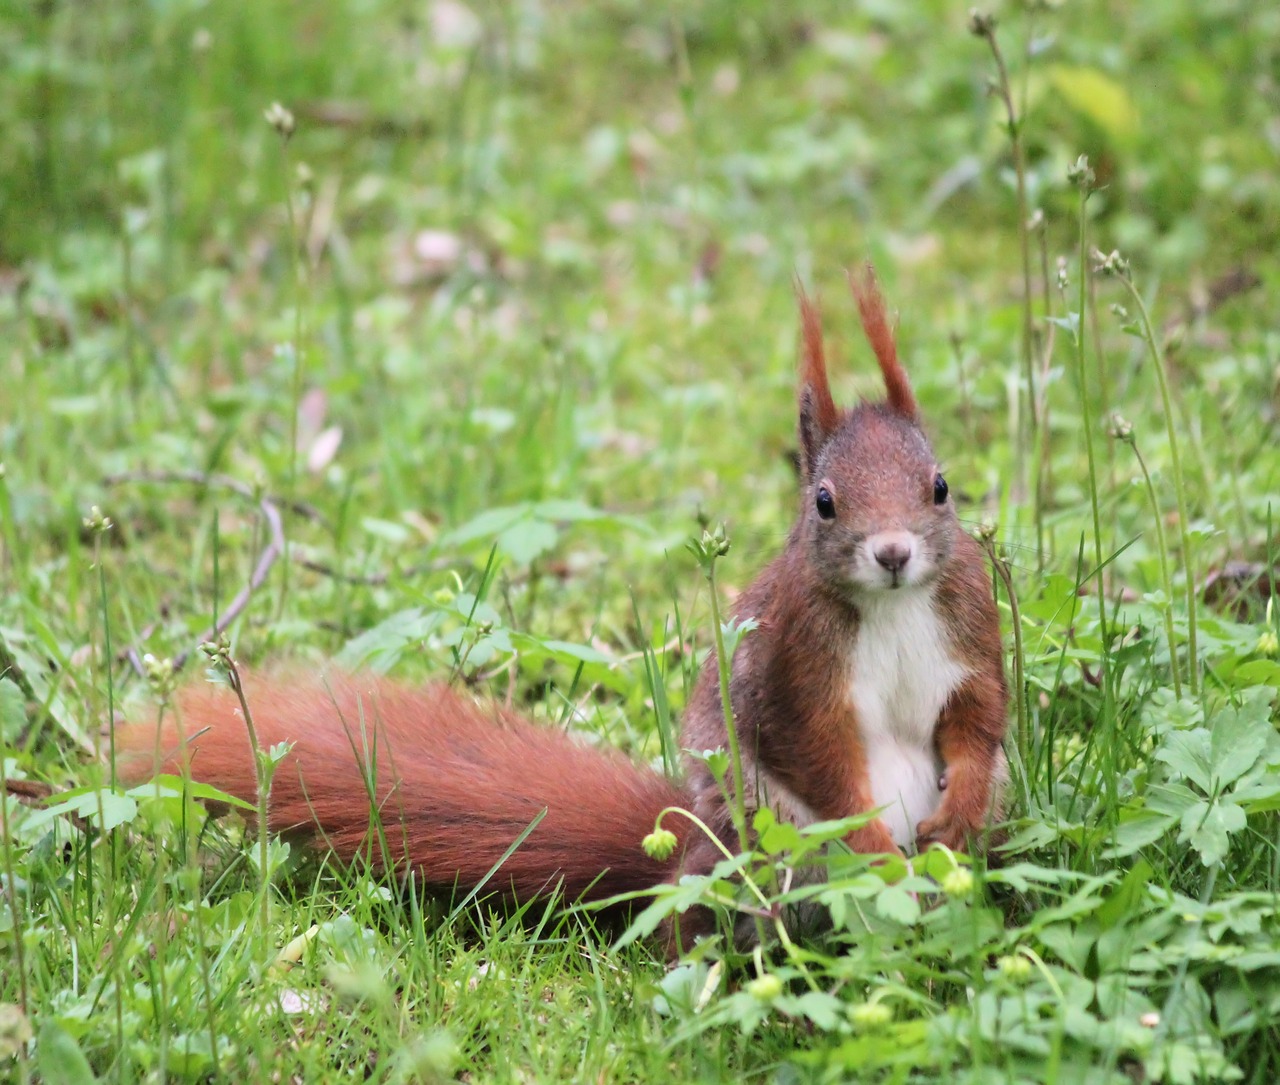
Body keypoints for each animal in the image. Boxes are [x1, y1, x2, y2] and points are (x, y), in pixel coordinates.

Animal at [120, 264, 1008, 931]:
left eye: (940, 486)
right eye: (824, 502)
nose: (892, 552)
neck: (891, 606)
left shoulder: (967, 626)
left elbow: (977, 719)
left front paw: (954, 806)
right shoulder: (794, 664)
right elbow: (818, 755)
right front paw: (876, 845)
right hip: (748, 854)